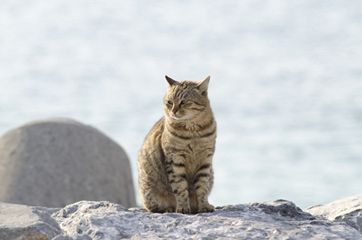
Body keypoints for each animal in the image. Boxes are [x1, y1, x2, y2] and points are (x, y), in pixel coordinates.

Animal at [136, 75, 215, 214]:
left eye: (183, 102)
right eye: (169, 102)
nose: (173, 111)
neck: (193, 132)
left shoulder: (206, 159)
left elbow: (202, 186)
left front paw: (204, 205)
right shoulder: (175, 159)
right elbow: (180, 186)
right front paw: (183, 207)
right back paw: (168, 208)